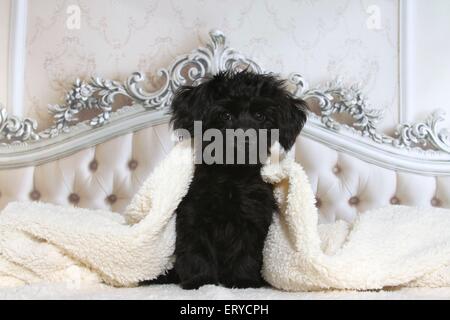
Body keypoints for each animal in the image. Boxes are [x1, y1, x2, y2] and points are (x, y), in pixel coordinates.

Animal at [149, 70, 308, 290]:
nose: (244, 139)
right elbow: (196, 250)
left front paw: (242, 280)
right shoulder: (193, 216)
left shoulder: (253, 217)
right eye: (225, 115)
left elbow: (246, 251)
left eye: (260, 116)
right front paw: (201, 280)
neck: (232, 176)